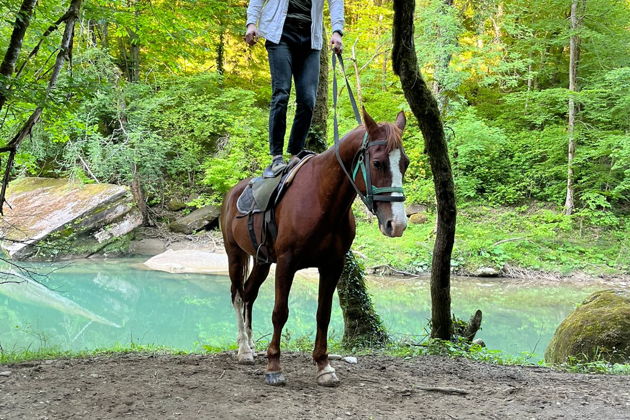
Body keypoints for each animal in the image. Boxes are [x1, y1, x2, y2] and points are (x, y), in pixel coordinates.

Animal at [221, 108, 410, 388]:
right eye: (377, 163)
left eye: (404, 163)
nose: (396, 224)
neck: (321, 198)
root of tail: (232, 192)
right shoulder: (286, 264)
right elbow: (280, 312)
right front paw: (274, 367)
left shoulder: (332, 266)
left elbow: (324, 314)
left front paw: (324, 366)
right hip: (234, 255)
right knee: (236, 294)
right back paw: (244, 349)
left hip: (262, 261)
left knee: (249, 294)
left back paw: (251, 345)